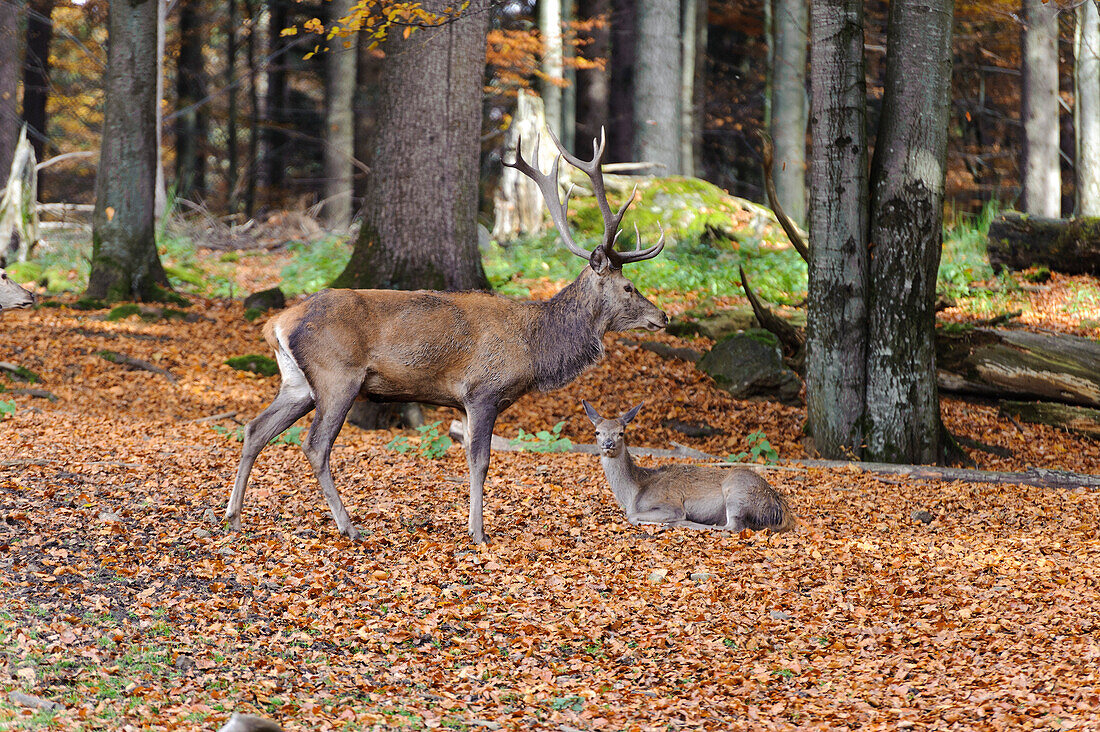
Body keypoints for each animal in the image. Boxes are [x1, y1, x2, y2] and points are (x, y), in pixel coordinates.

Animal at [227, 129, 664, 541]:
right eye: (629, 287)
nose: (661, 315)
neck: (535, 348)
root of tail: (277, 323)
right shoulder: (483, 391)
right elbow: (481, 460)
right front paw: (479, 532)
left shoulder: (464, 402)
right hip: (337, 375)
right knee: (315, 445)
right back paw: (347, 526)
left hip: (297, 383)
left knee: (255, 429)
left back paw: (232, 516)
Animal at [580, 400, 796, 530]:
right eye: (597, 432)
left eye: (621, 432)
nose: (608, 443)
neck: (634, 493)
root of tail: (781, 511)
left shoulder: (669, 505)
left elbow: (632, 517)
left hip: (737, 492)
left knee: (731, 527)